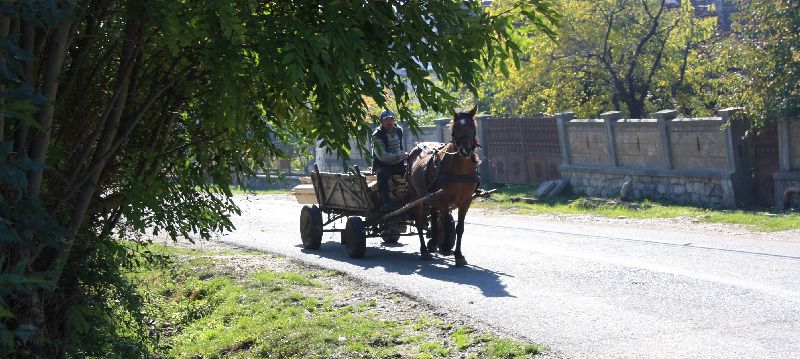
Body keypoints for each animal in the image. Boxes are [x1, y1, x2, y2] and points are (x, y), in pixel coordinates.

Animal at [406, 105, 482, 266]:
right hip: (417, 197)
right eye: (455, 128)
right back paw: (424, 250)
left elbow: (460, 228)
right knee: (419, 221)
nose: (465, 150)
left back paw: (433, 242)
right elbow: (446, 224)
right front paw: (446, 246)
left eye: (472, 127)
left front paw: (458, 255)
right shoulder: (443, 200)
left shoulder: (465, 201)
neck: (460, 170)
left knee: (433, 216)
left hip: (431, 196)